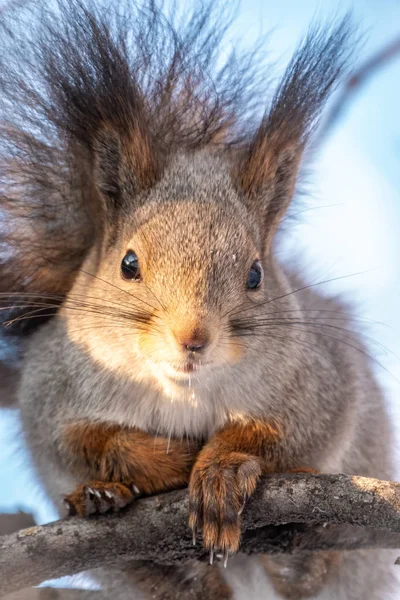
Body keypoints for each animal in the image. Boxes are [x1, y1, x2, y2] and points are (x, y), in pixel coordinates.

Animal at [0, 1, 394, 600]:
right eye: (129, 264)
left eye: (255, 274)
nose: (192, 338)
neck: (183, 392)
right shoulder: (51, 391)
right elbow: (79, 441)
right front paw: (160, 461)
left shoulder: (322, 384)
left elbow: (289, 435)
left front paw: (222, 468)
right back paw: (102, 504)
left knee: (311, 573)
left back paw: (297, 552)